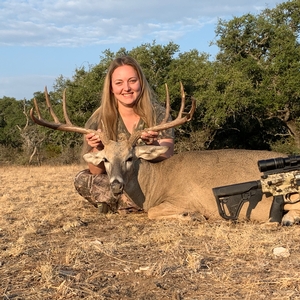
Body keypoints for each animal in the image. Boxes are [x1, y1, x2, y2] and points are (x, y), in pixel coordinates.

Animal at [30, 83, 300, 224]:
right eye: (105, 159)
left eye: (131, 157)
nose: (116, 184)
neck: (155, 185)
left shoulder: (185, 198)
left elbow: (154, 212)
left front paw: (191, 215)